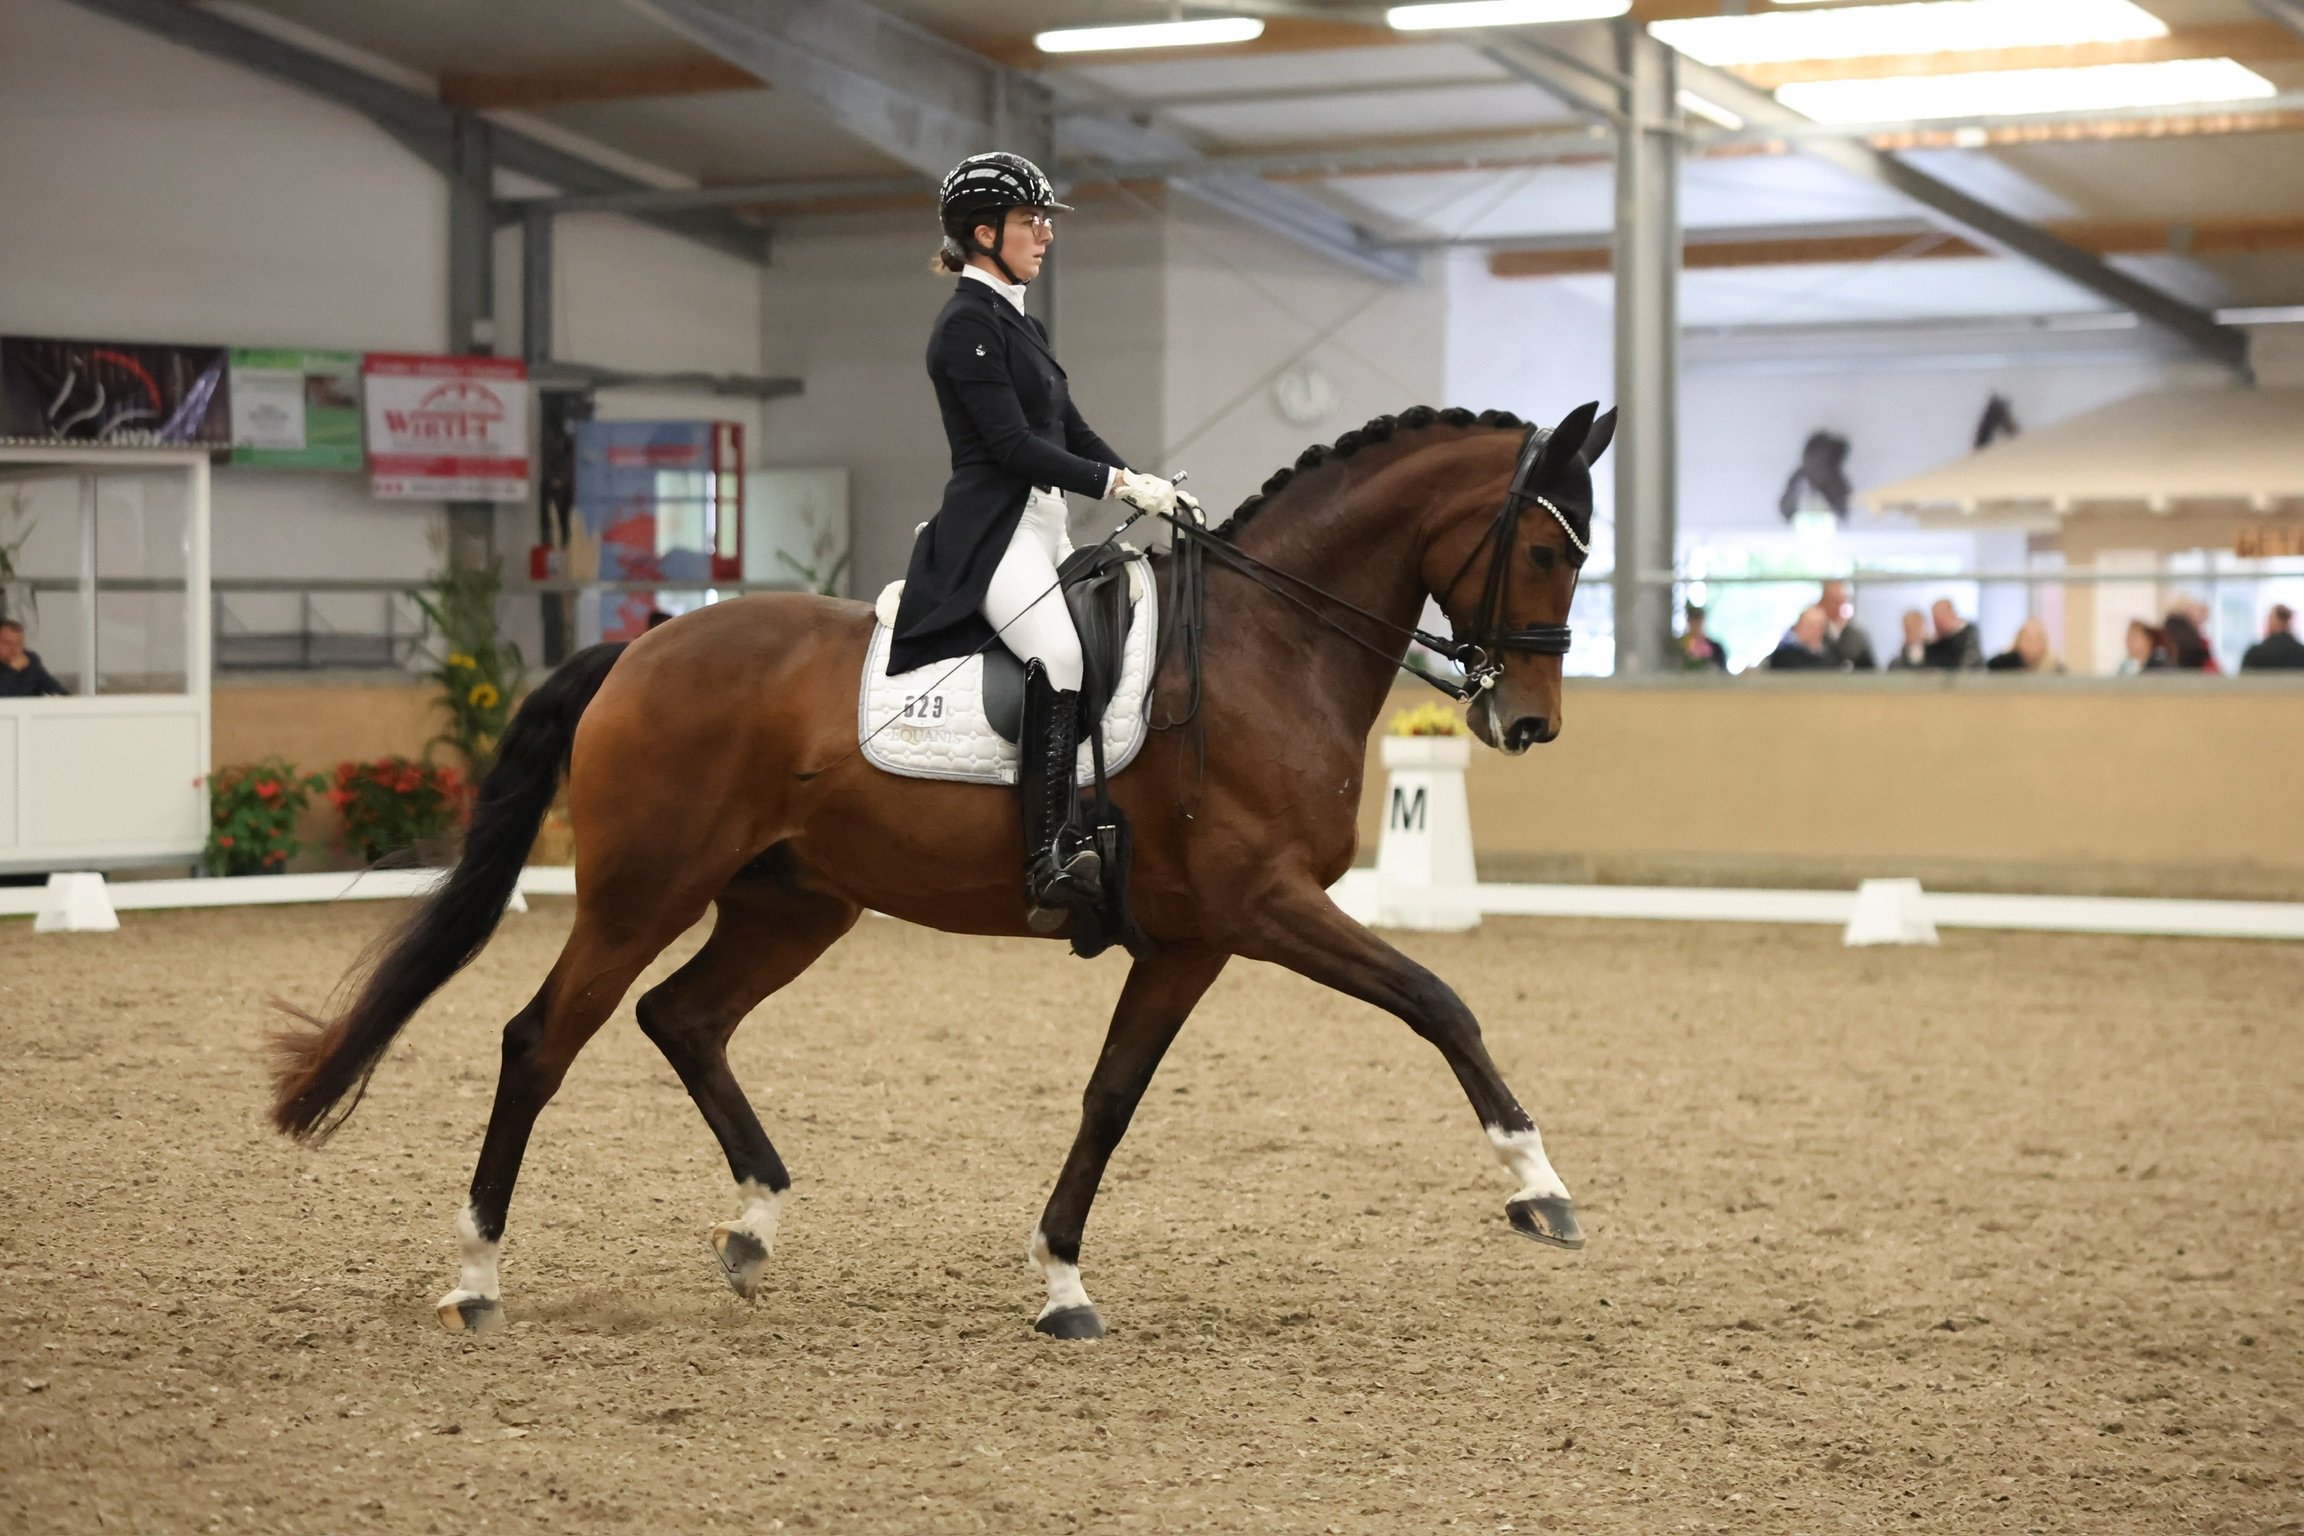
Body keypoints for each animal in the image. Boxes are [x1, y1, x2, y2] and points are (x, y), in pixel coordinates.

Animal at [274, 402, 1622, 1335]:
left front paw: (1062, 1282)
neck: (1265, 646)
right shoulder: (1265, 906)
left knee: (682, 1017)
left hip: (793, 903)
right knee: (540, 1041)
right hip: (640, 891)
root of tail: (642, 649)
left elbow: (1110, 1097)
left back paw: (753, 1224)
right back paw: (475, 1277)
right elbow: (1438, 1000)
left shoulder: (1194, 939)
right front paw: (1540, 1185)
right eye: (1546, 553)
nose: (1530, 724)